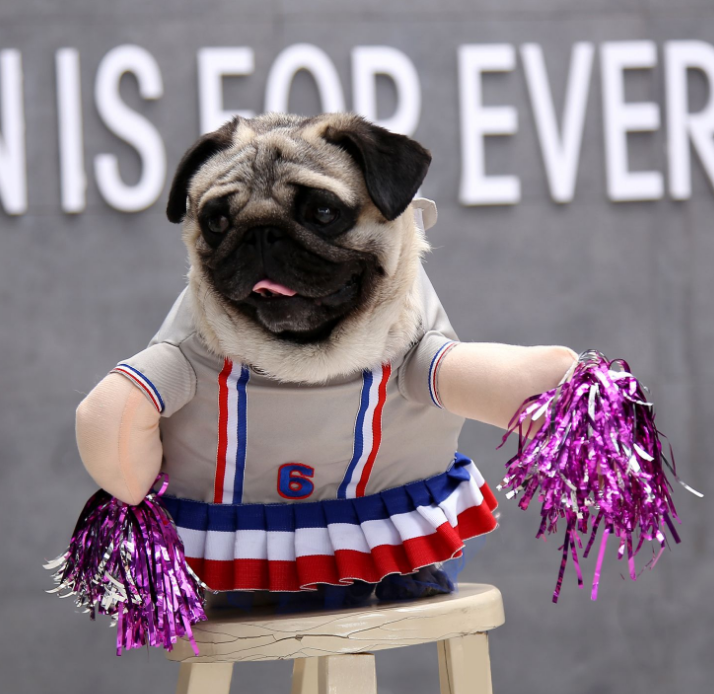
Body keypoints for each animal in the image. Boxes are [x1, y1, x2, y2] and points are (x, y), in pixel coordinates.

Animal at [73, 113, 572, 604]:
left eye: (323, 213)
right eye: (216, 221)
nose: (260, 233)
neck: (307, 366)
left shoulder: (422, 363)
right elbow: (113, 421)